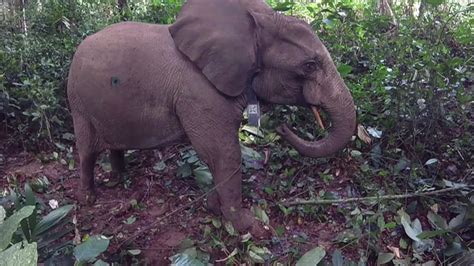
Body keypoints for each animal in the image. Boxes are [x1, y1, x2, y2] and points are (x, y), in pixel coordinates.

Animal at [66, 0, 356, 234]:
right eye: (309, 66)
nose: (283, 128)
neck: (258, 19)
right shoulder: (200, 95)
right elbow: (223, 153)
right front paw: (249, 226)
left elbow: (216, 154)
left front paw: (213, 209)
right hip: (78, 102)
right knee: (86, 150)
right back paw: (89, 198)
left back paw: (118, 180)